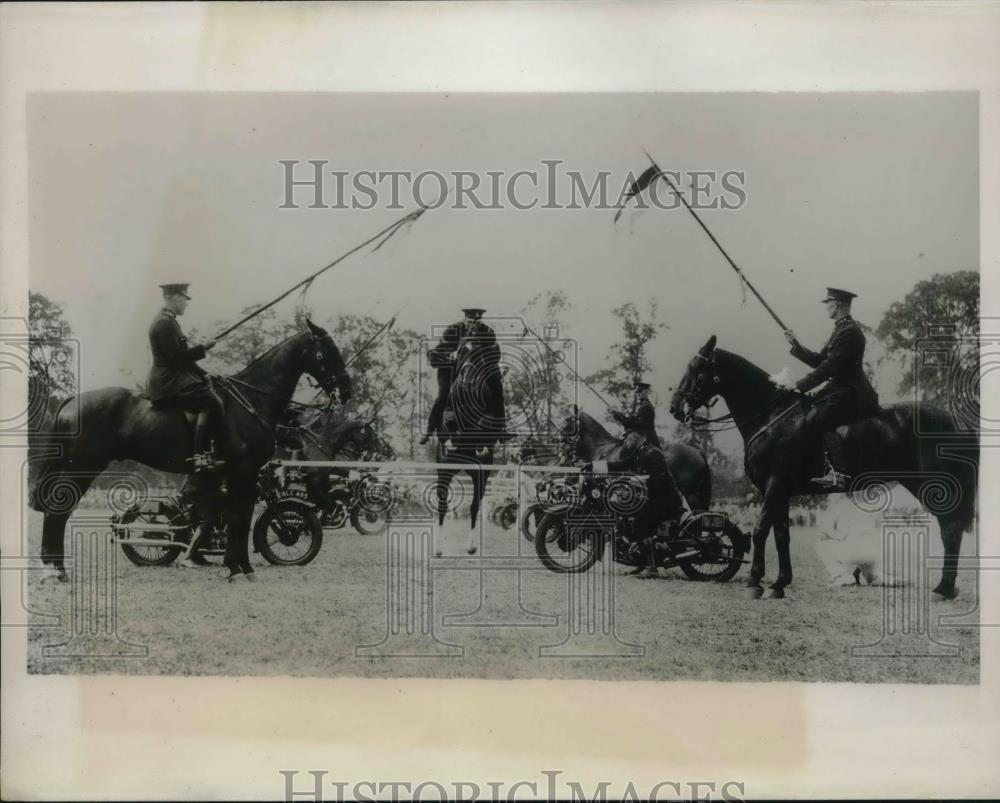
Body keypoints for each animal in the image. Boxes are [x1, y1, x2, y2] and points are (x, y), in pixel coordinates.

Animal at [30, 322, 352, 584]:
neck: (251, 399)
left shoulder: (231, 476)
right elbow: (241, 519)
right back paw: (54, 572)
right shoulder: (244, 472)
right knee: (58, 512)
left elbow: (233, 518)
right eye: (326, 352)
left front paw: (234, 565)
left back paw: (56, 570)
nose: (346, 390)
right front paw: (242, 568)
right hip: (81, 468)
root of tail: (72, 400)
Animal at [668, 336, 980, 600]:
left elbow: (760, 530)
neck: (771, 417)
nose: (674, 407)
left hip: (936, 487)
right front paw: (779, 583)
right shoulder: (782, 492)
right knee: (949, 529)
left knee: (950, 529)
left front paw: (755, 581)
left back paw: (943, 588)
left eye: (696, 370)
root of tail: (956, 421)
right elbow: (781, 534)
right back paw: (945, 587)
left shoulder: (774, 485)